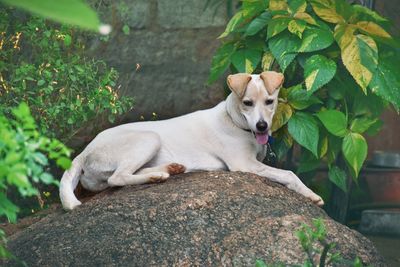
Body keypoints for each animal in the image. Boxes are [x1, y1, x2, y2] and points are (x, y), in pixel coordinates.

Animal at [60, 72, 324, 210]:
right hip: (148, 138)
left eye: (270, 101)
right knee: (117, 178)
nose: (262, 126)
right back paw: (157, 176)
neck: (234, 121)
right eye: (247, 103)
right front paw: (310, 194)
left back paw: (169, 169)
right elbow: (288, 173)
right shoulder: (244, 164)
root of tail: (84, 152)